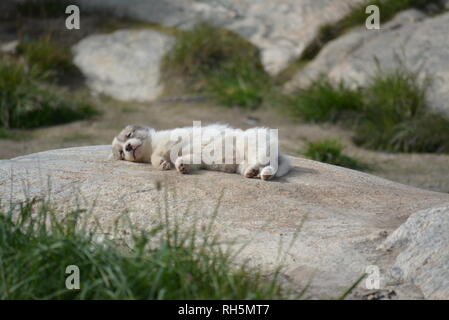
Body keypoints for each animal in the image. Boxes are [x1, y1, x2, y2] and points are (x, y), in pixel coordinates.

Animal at [111, 123, 290, 180]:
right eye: (121, 154)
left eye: (129, 135)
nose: (127, 147)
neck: (152, 145)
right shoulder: (195, 157)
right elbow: (187, 160)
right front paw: (181, 166)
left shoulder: (173, 139)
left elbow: (158, 155)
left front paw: (162, 163)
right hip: (243, 163)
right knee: (267, 168)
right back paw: (255, 173)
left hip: (255, 147)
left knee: (265, 163)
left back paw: (260, 171)